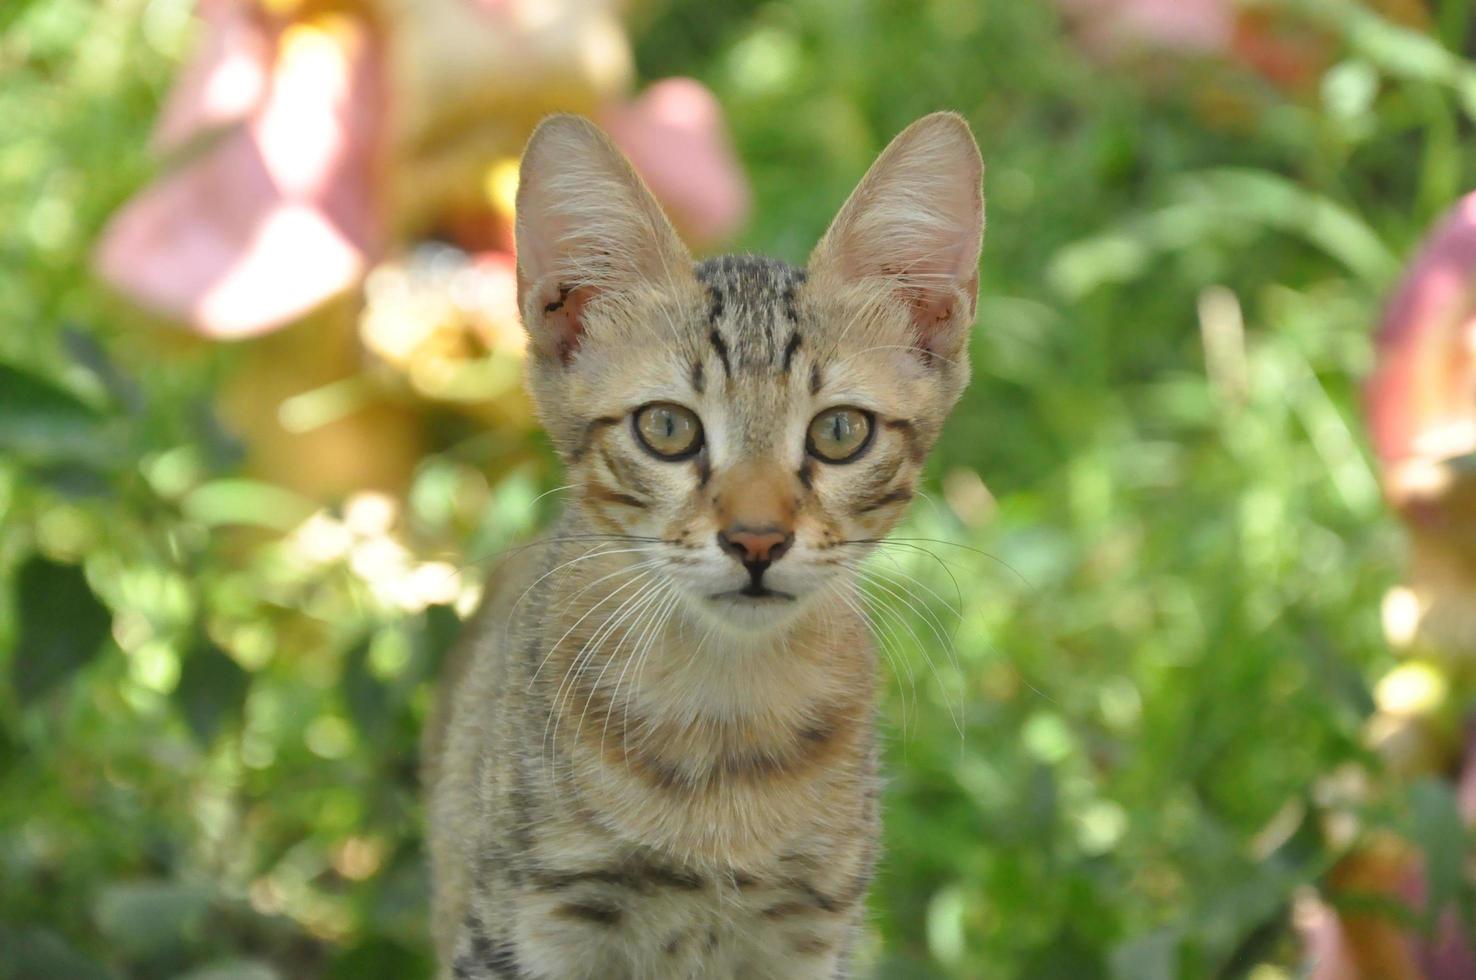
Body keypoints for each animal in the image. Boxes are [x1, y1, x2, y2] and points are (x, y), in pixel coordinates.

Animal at [425, 110, 980, 974]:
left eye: (840, 433)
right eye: (667, 427)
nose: (756, 540)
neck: (723, 715)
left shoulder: (812, 931)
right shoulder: (524, 923)